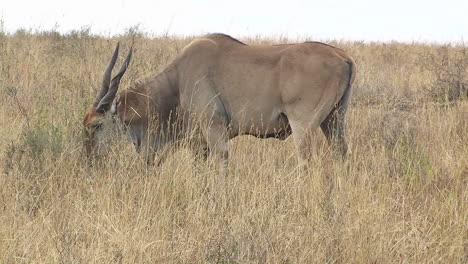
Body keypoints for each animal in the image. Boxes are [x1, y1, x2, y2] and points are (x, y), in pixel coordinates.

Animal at [83, 34, 354, 172]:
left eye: (96, 125)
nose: (90, 160)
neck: (177, 81)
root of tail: (343, 56)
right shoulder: (199, 144)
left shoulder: (214, 130)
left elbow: (221, 164)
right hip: (334, 121)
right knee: (341, 154)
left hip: (303, 126)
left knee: (307, 162)